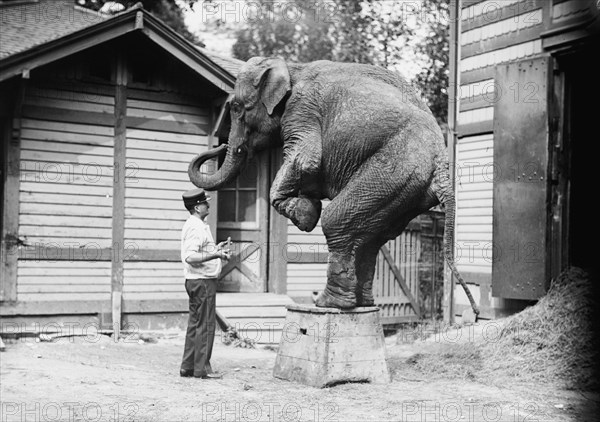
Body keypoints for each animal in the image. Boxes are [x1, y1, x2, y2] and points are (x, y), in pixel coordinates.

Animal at [190, 55, 480, 314]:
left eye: (236, 107)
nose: (221, 145)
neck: (292, 67)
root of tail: (442, 167)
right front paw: (307, 207)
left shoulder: (302, 111)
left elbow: (306, 159)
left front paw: (306, 215)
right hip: (407, 191)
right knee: (373, 237)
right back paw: (361, 303)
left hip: (395, 169)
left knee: (336, 222)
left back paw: (328, 303)